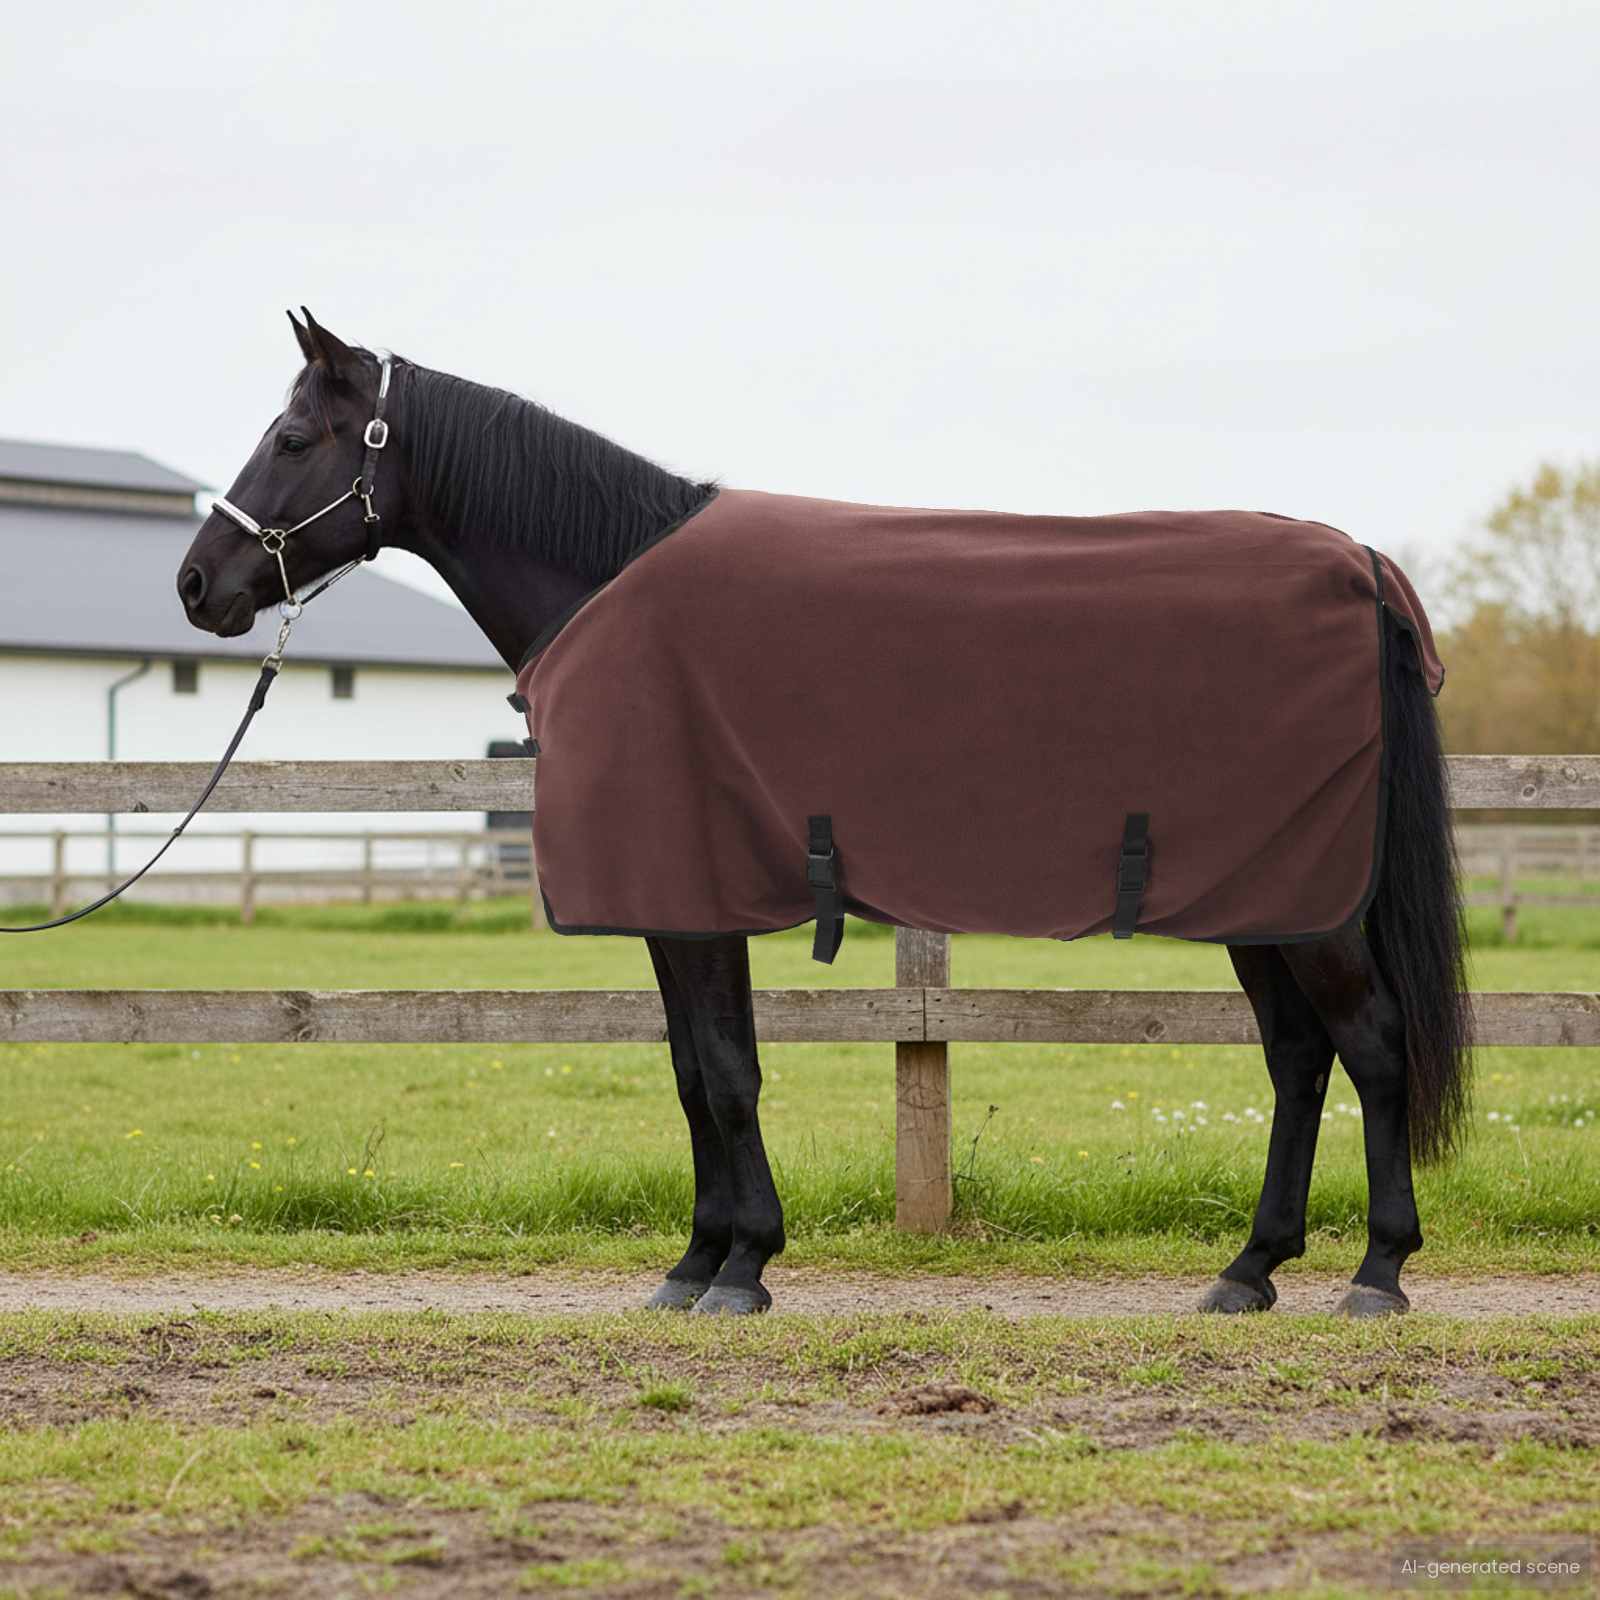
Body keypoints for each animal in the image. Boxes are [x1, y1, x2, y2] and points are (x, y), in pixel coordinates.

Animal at [176, 309, 1471, 1317]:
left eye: (292, 438)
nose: (197, 585)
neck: (608, 580)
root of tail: (1359, 562)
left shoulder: (693, 899)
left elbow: (724, 1073)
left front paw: (740, 1265)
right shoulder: (679, 904)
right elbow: (697, 1070)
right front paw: (700, 1259)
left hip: (1312, 908)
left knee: (1371, 1044)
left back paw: (1377, 1271)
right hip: (1265, 895)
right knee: (1298, 1057)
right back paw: (1249, 1269)